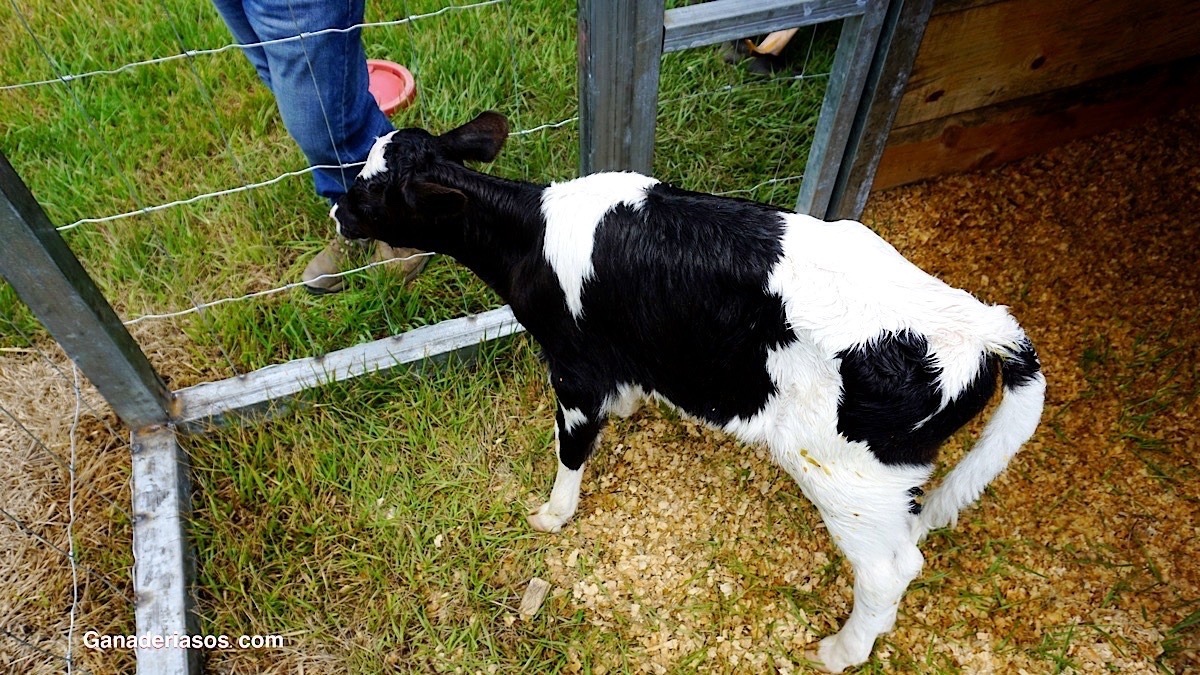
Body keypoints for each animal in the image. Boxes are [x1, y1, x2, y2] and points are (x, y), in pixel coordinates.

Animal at [333, 112, 1046, 667]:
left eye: (372, 191)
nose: (336, 209)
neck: (530, 236)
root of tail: (983, 325)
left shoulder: (572, 364)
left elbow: (571, 448)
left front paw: (552, 514)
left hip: (848, 478)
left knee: (890, 571)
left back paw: (842, 651)